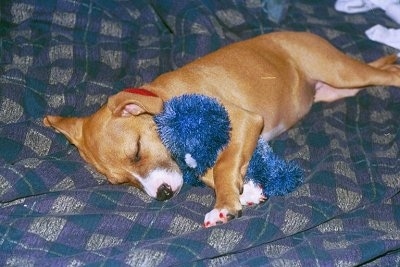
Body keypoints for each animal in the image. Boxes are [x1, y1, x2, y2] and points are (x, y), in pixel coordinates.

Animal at [43, 31, 400, 228]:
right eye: (122, 183)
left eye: (137, 150)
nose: (163, 195)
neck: (164, 100)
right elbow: (212, 170)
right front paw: (248, 191)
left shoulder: (244, 120)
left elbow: (224, 164)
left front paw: (225, 203)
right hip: (336, 89)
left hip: (339, 71)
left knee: (390, 75)